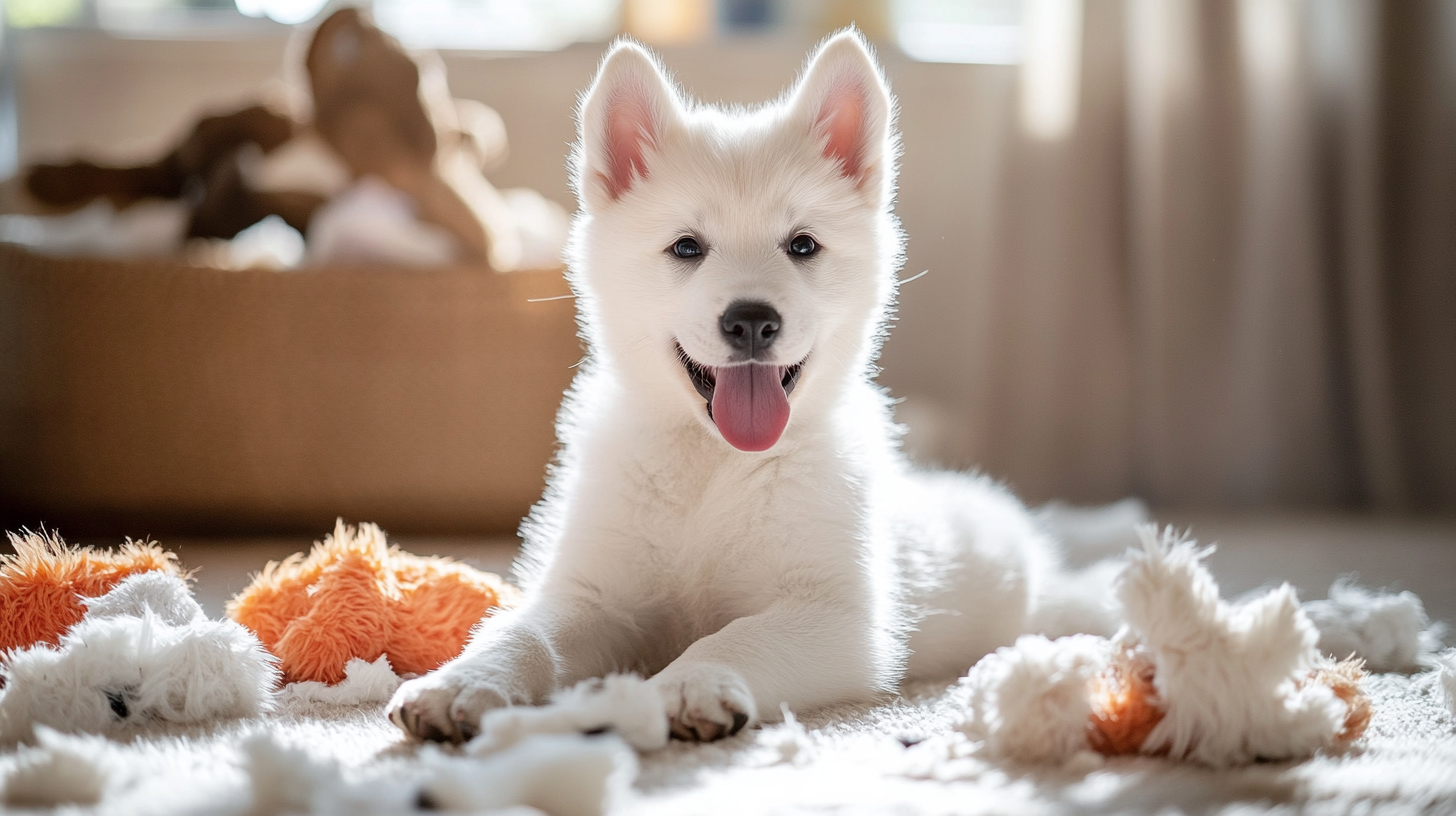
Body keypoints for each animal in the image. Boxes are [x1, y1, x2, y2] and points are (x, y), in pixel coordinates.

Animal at [390, 31, 1112, 746]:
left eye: (802, 245)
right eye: (686, 247)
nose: (752, 321)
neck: (714, 465)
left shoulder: (836, 616)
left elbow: (737, 636)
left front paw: (691, 682)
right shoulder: (592, 595)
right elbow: (525, 632)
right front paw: (462, 681)